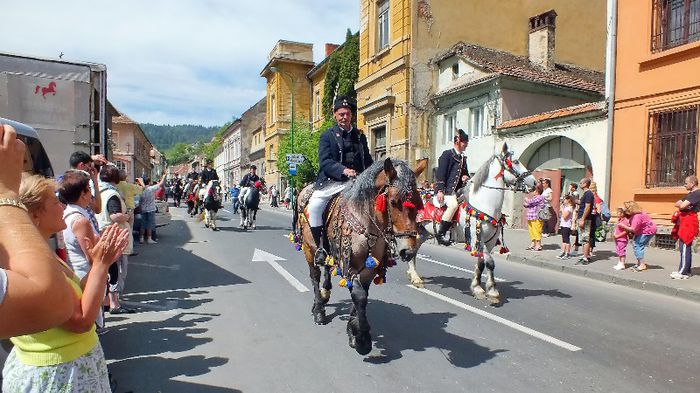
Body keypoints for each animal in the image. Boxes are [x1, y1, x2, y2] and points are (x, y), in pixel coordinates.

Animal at [292, 158, 424, 354]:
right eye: (393, 201)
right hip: (309, 248)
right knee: (314, 276)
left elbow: (362, 295)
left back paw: (325, 292)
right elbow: (359, 295)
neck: (366, 221)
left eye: (418, 202)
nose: (408, 251)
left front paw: (353, 329)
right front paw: (362, 338)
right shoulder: (348, 264)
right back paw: (319, 309)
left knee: (326, 267)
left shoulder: (369, 268)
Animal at [404, 142, 536, 304]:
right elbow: (490, 262)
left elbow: (481, 263)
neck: (484, 202)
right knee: (412, 250)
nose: (534, 182)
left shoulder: (489, 241)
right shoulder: (476, 238)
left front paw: (479, 289)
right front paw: (491, 291)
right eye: (516, 161)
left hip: (424, 233)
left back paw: (413, 275)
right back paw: (415, 277)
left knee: (414, 250)